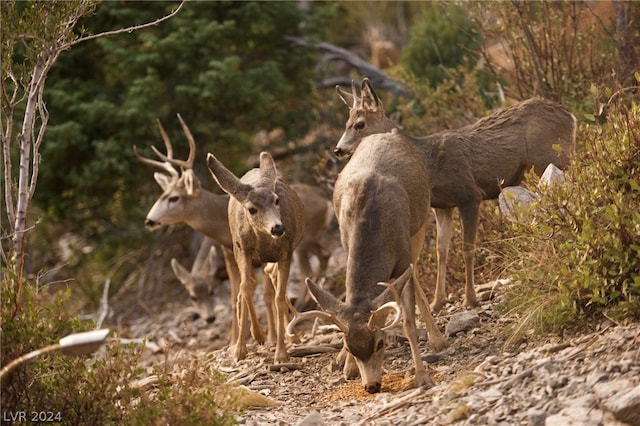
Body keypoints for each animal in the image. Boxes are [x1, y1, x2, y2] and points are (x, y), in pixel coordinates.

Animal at [206, 151, 304, 362]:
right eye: (252, 209)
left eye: (276, 200)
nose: (278, 228)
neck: (265, 242)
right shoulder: (242, 249)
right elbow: (246, 287)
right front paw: (249, 342)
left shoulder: (287, 252)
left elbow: (279, 297)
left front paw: (281, 354)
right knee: (252, 283)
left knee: (273, 279)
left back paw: (291, 335)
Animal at [332, 80, 576, 312]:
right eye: (345, 124)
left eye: (359, 124)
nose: (338, 149)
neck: (429, 164)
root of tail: (570, 116)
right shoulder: (442, 206)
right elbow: (442, 251)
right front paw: (436, 303)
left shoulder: (469, 195)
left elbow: (467, 248)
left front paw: (470, 299)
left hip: (552, 157)